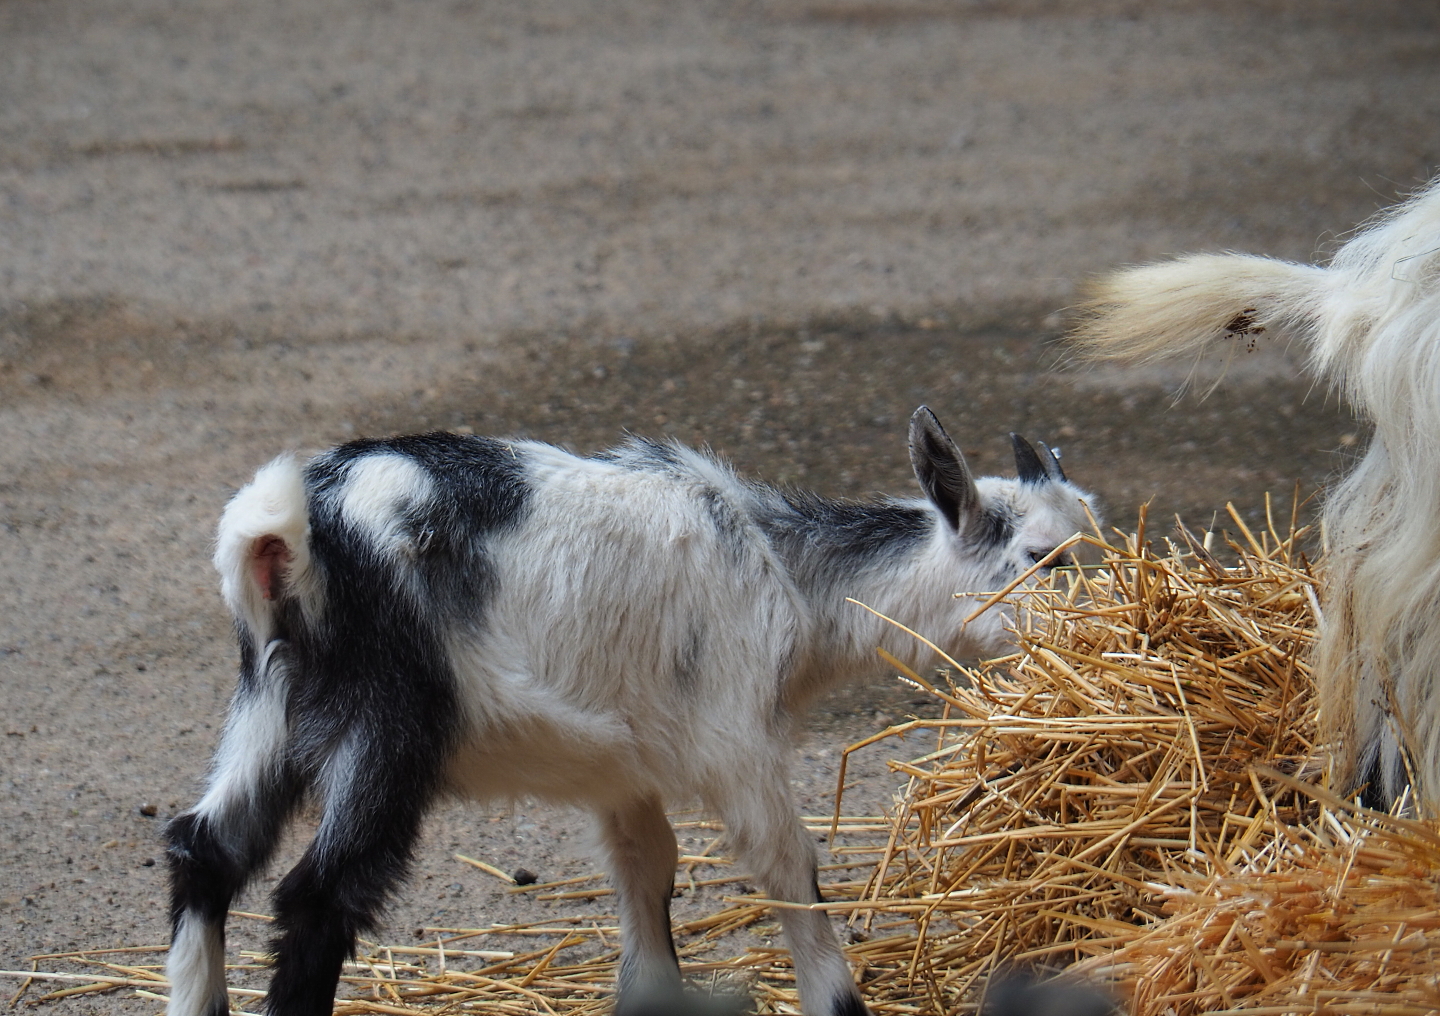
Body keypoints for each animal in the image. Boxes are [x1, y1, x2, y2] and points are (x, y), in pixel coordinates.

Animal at [165, 407, 1095, 1016]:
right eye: (1039, 558)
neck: (786, 577)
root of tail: (290, 533)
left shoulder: (624, 773)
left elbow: (649, 877)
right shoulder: (739, 741)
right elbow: (790, 871)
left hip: (274, 705)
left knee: (202, 850)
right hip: (389, 724)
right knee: (317, 901)